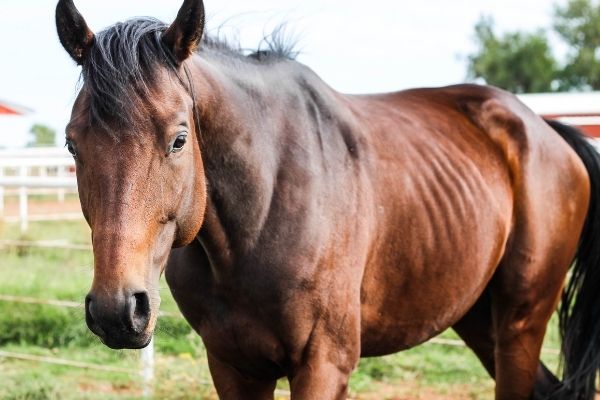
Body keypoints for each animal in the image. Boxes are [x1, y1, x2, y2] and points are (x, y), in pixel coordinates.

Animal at [55, 1, 600, 398]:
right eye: (72, 144)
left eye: (178, 139)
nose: (117, 310)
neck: (261, 211)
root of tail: (543, 129)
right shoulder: (233, 365)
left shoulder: (323, 364)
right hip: (478, 317)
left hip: (521, 320)